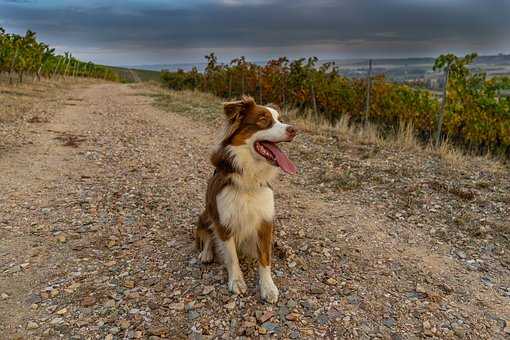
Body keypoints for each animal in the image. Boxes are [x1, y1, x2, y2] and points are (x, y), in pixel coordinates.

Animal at [196, 95, 298, 302]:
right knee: (207, 235)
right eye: (263, 119)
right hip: (205, 213)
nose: (294, 129)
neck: (250, 177)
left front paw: (268, 287)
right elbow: (232, 257)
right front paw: (236, 281)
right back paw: (206, 253)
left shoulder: (265, 220)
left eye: (280, 119)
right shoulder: (224, 220)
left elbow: (265, 258)